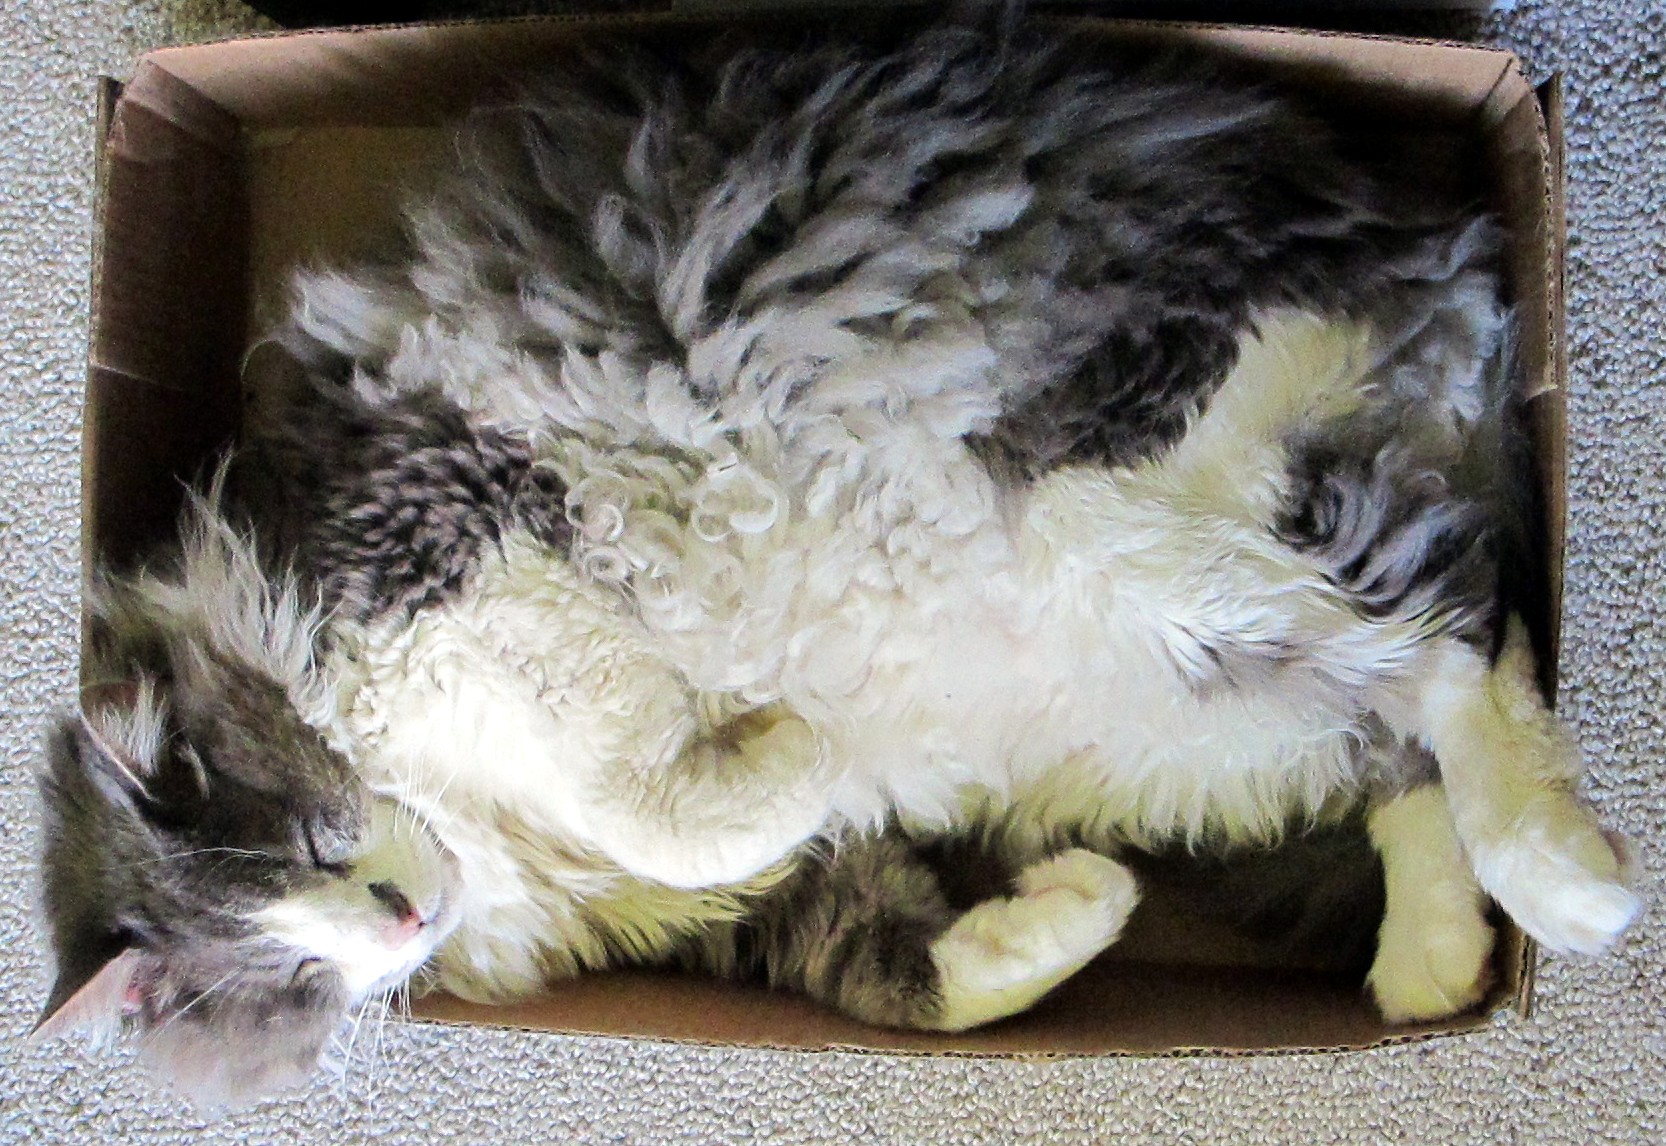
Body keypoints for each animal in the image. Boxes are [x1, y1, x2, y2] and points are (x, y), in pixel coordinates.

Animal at [29, 13, 1639, 1112]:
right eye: (285, 978)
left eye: (313, 841)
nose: (401, 915)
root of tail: (1428, 232)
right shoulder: (748, 916)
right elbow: (897, 973)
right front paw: (1075, 913)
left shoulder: (446, 529)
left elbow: (654, 779)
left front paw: (787, 735)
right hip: (1205, 702)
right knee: (1408, 700)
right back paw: (1434, 956)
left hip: (1116, 482)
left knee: (1459, 638)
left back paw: (1574, 892)